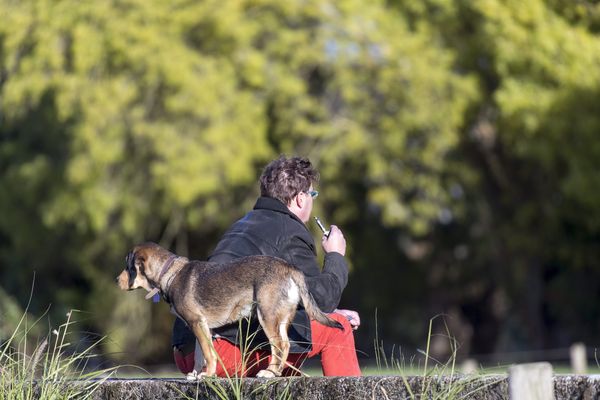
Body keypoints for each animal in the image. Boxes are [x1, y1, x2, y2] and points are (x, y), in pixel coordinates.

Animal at [116, 241, 342, 378]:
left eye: (128, 267)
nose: (116, 280)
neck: (169, 274)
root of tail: (290, 268)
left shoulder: (197, 323)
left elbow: (209, 354)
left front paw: (207, 375)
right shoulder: (202, 327)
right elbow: (200, 355)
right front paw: (196, 375)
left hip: (266, 316)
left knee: (280, 346)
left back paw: (269, 373)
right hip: (281, 318)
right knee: (285, 345)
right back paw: (275, 372)